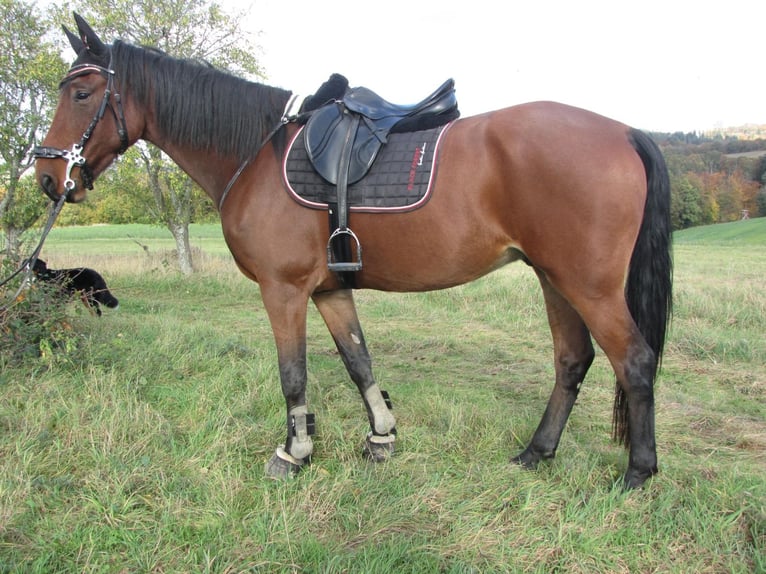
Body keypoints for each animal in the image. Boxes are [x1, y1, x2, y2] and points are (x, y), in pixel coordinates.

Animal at [34, 13, 672, 490]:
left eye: (83, 92)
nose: (46, 177)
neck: (256, 155)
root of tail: (624, 131)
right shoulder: (329, 290)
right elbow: (358, 361)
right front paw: (381, 437)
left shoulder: (285, 289)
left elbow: (294, 374)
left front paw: (293, 453)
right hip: (553, 277)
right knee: (572, 360)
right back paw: (536, 454)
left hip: (587, 284)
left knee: (635, 362)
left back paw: (637, 475)